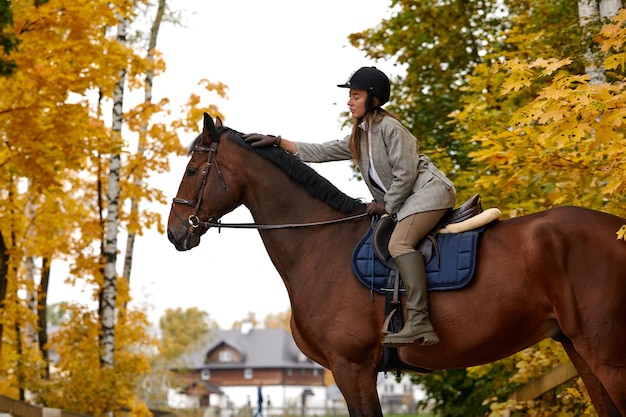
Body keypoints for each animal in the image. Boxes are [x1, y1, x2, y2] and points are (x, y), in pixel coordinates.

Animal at [167, 112, 624, 414]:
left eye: (192, 169)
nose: (175, 233)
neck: (321, 244)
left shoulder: (352, 369)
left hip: (607, 354)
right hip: (579, 349)